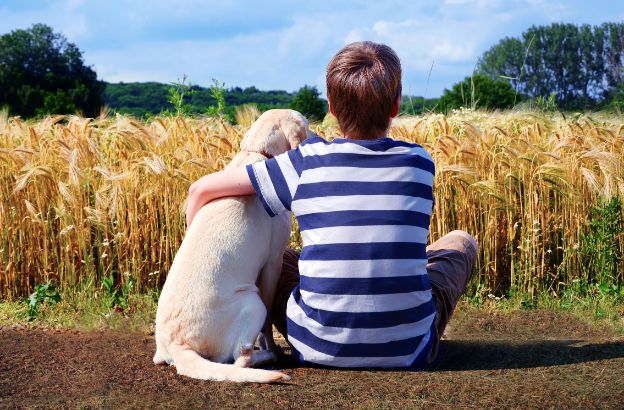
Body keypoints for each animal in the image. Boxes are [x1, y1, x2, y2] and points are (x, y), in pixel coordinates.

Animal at [154, 109, 310, 382]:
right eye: (307, 124)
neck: (258, 153)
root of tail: (177, 345)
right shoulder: (273, 261)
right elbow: (267, 322)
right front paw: (270, 345)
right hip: (252, 302)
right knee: (242, 359)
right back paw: (268, 357)